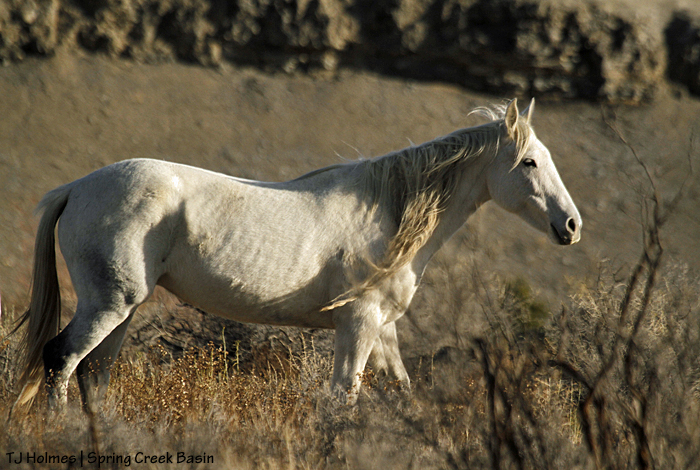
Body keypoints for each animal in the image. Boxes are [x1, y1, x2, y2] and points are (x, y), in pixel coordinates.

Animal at [12, 98, 580, 413]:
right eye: (529, 163)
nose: (572, 226)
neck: (389, 212)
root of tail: (76, 188)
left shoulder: (384, 330)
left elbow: (400, 390)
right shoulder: (359, 324)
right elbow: (342, 399)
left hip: (123, 311)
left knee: (93, 375)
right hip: (108, 304)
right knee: (62, 359)